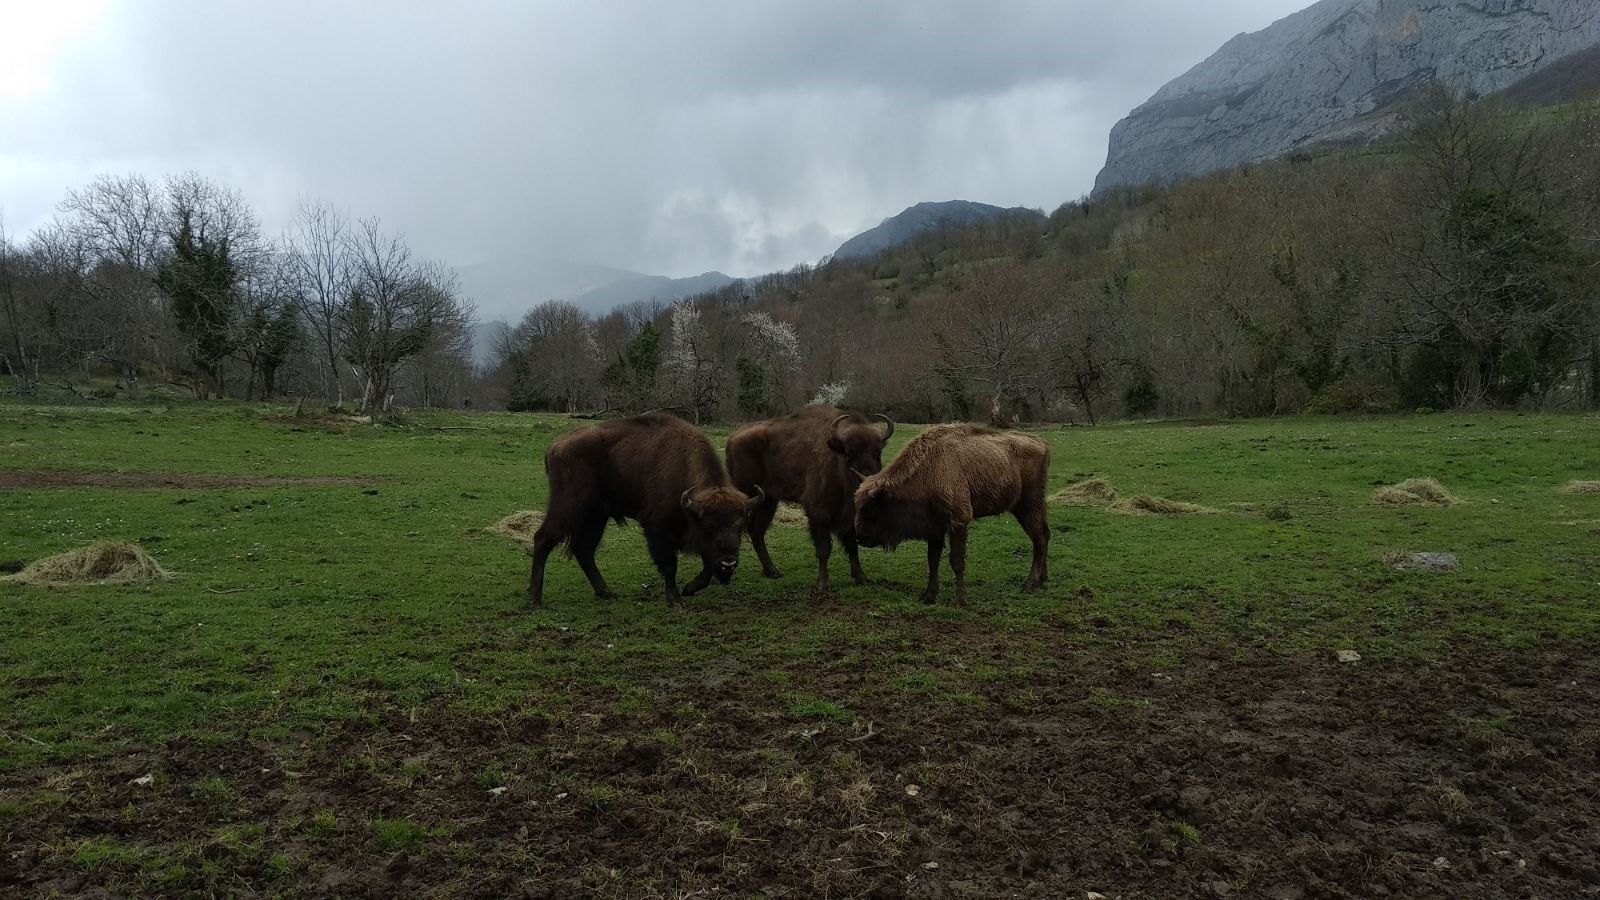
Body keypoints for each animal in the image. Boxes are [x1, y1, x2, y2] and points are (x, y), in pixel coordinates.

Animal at [524, 409, 761, 605]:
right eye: (709, 527)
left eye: (739, 526)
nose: (728, 564)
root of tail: (554, 447)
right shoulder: (657, 527)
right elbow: (670, 564)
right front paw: (676, 601)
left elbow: (706, 565)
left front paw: (688, 589)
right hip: (568, 506)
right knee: (543, 538)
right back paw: (534, 599)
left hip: (596, 516)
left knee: (584, 550)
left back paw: (606, 592)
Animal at [729, 405, 896, 589]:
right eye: (849, 453)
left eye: (878, 452)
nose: (868, 483)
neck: (836, 461)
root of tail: (733, 437)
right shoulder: (818, 512)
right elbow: (824, 549)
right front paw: (823, 583)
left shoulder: (850, 516)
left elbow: (852, 545)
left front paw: (861, 578)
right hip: (747, 495)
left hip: (768, 500)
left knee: (757, 531)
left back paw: (772, 571)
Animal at [851, 422, 1049, 602]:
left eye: (870, 509)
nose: (860, 537)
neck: (929, 469)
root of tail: (1041, 444)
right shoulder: (935, 526)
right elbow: (932, 560)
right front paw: (929, 596)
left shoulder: (958, 521)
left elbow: (956, 561)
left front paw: (961, 600)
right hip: (1028, 508)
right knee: (1044, 535)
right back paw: (1042, 581)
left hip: (1029, 505)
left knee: (1039, 538)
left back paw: (1029, 584)